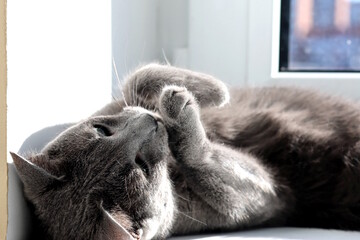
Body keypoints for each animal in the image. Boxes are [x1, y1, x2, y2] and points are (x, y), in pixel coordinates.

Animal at [10, 62, 360, 239]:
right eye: (142, 167)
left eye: (101, 130)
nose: (152, 122)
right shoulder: (270, 200)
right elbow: (203, 161)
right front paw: (185, 108)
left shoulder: (123, 101)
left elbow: (138, 76)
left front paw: (214, 91)